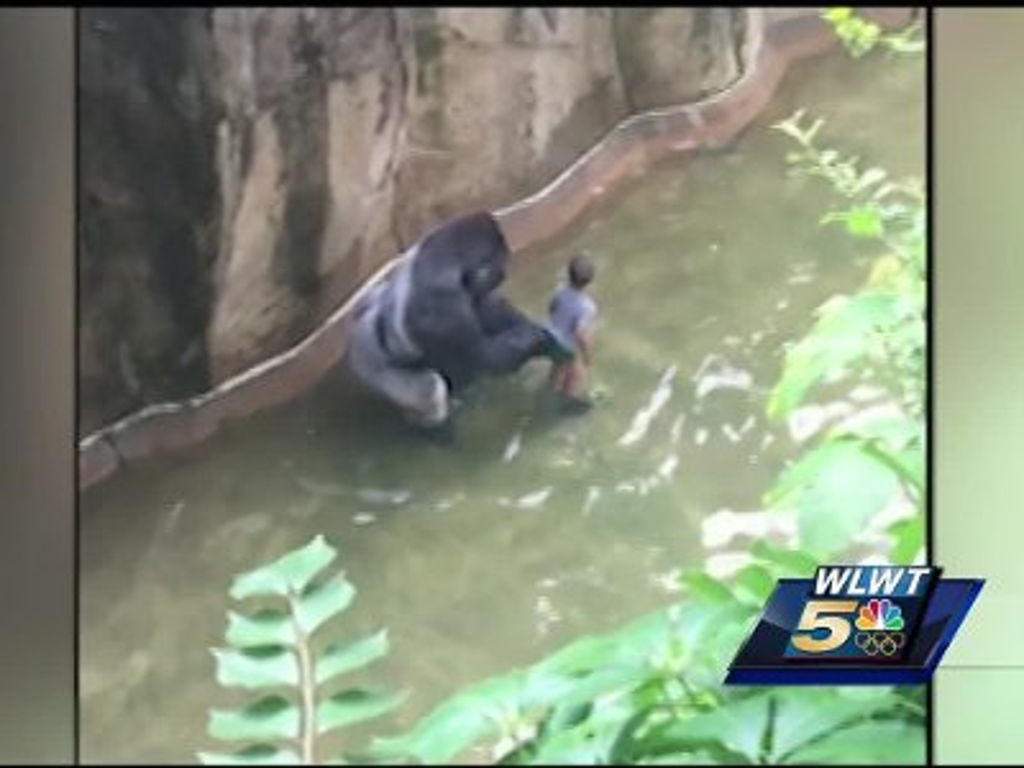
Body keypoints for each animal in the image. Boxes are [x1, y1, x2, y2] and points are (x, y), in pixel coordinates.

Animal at [346, 210, 561, 436]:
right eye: (498, 263)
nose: (503, 273)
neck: (441, 259)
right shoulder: (442, 307)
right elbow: (485, 357)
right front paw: (537, 338)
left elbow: (487, 308)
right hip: (373, 372)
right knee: (431, 391)